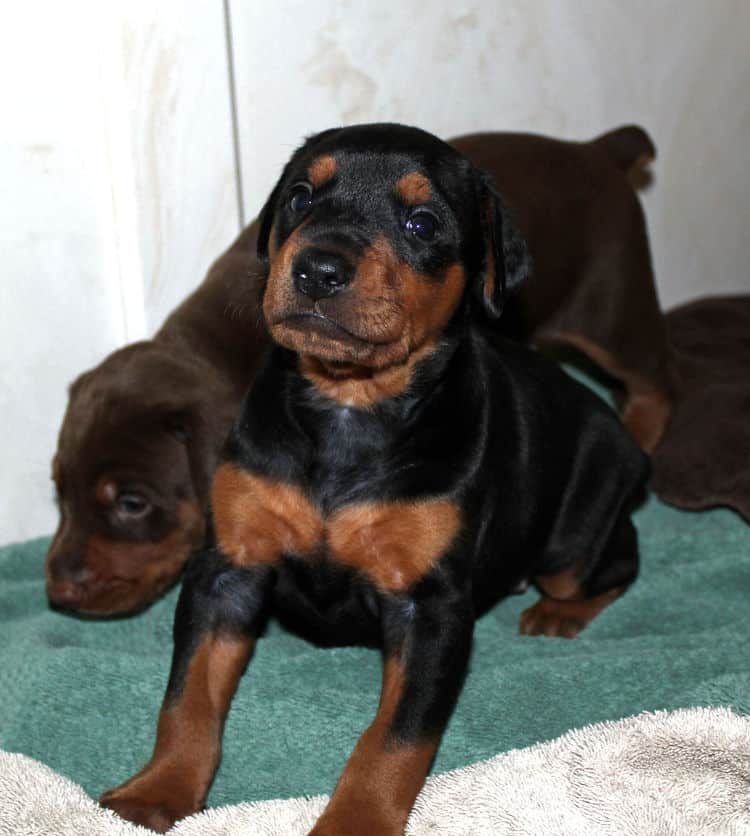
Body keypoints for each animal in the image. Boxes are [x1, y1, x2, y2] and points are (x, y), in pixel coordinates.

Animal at [101, 121, 652, 832]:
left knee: (616, 561)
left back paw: (559, 612)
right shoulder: (228, 568)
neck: (349, 406)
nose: (317, 268)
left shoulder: (432, 609)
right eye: (301, 197)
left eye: (422, 223)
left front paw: (354, 821)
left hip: (576, 534)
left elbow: (394, 740)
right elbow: (188, 696)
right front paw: (157, 790)